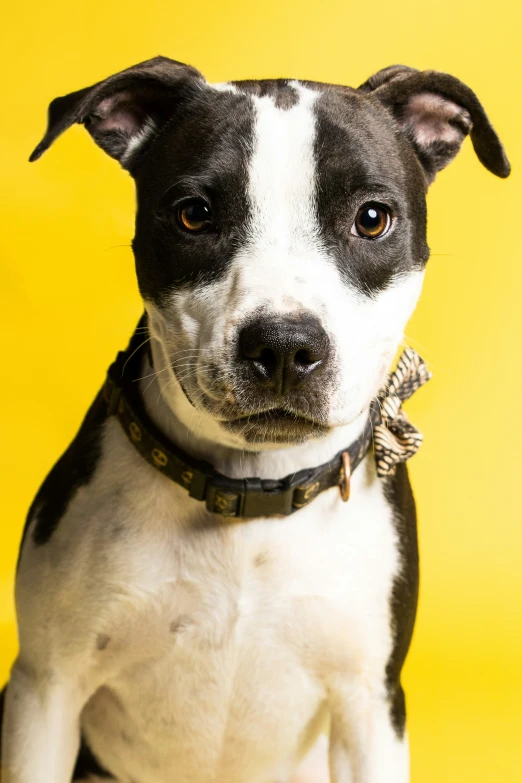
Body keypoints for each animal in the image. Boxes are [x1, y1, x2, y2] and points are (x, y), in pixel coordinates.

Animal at [0, 59, 506, 783]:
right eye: (194, 215)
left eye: (372, 219)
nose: (285, 345)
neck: (251, 496)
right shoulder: (46, 691)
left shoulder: (371, 706)